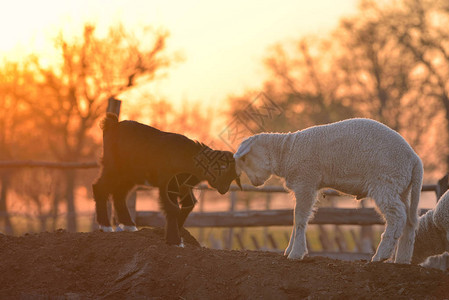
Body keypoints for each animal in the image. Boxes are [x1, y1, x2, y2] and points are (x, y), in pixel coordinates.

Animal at [234, 118, 424, 264]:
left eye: (244, 158)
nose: (255, 183)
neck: (287, 152)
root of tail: (414, 159)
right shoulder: (303, 185)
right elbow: (295, 219)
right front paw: (288, 250)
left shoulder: (306, 181)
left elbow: (300, 218)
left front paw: (296, 253)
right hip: (401, 187)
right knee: (410, 220)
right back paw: (402, 260)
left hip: (386, 181)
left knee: (397, 216)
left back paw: (381, 256)